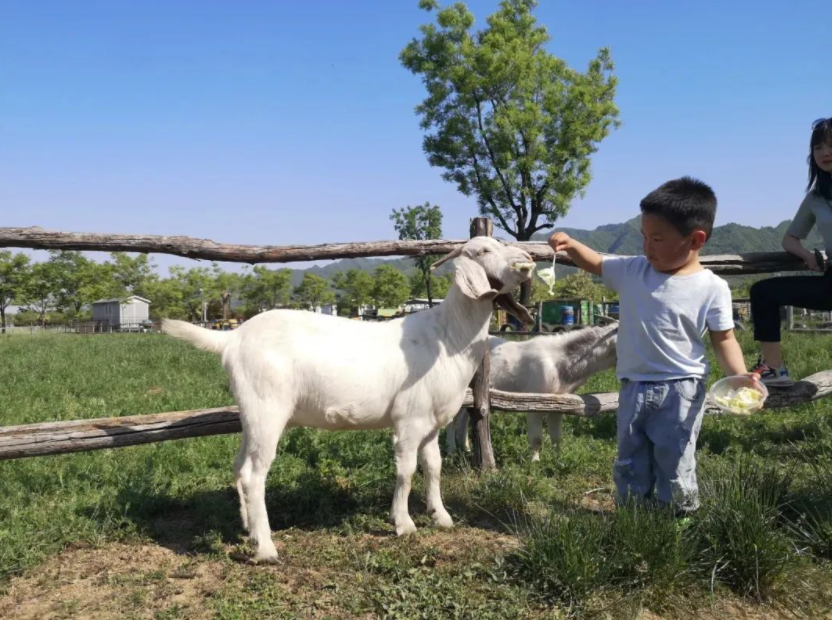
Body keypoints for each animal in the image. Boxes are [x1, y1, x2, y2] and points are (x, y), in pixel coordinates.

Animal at [162, 236, 532, 560]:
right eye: (483, 251)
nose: (527, 263)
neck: (447, 335)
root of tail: (233, 338)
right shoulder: (409, 420)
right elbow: (407, 470)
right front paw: (403, 523)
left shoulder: (431, 422)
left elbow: (434, 467)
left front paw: (439, 515)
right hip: (267, 409)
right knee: (255, 474)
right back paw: (266, 548)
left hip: (251, 414)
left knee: (240, 466)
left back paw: (249, 529)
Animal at [448, 324, 616, 460]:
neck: (557, 364)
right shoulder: (533, 403)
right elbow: (537, 438)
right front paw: (535, 462)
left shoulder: (560, 405)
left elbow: (557, 437)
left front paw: (558, 459)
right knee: (453, 419)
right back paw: (451, 450)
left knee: (464, 417)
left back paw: (465, 448)